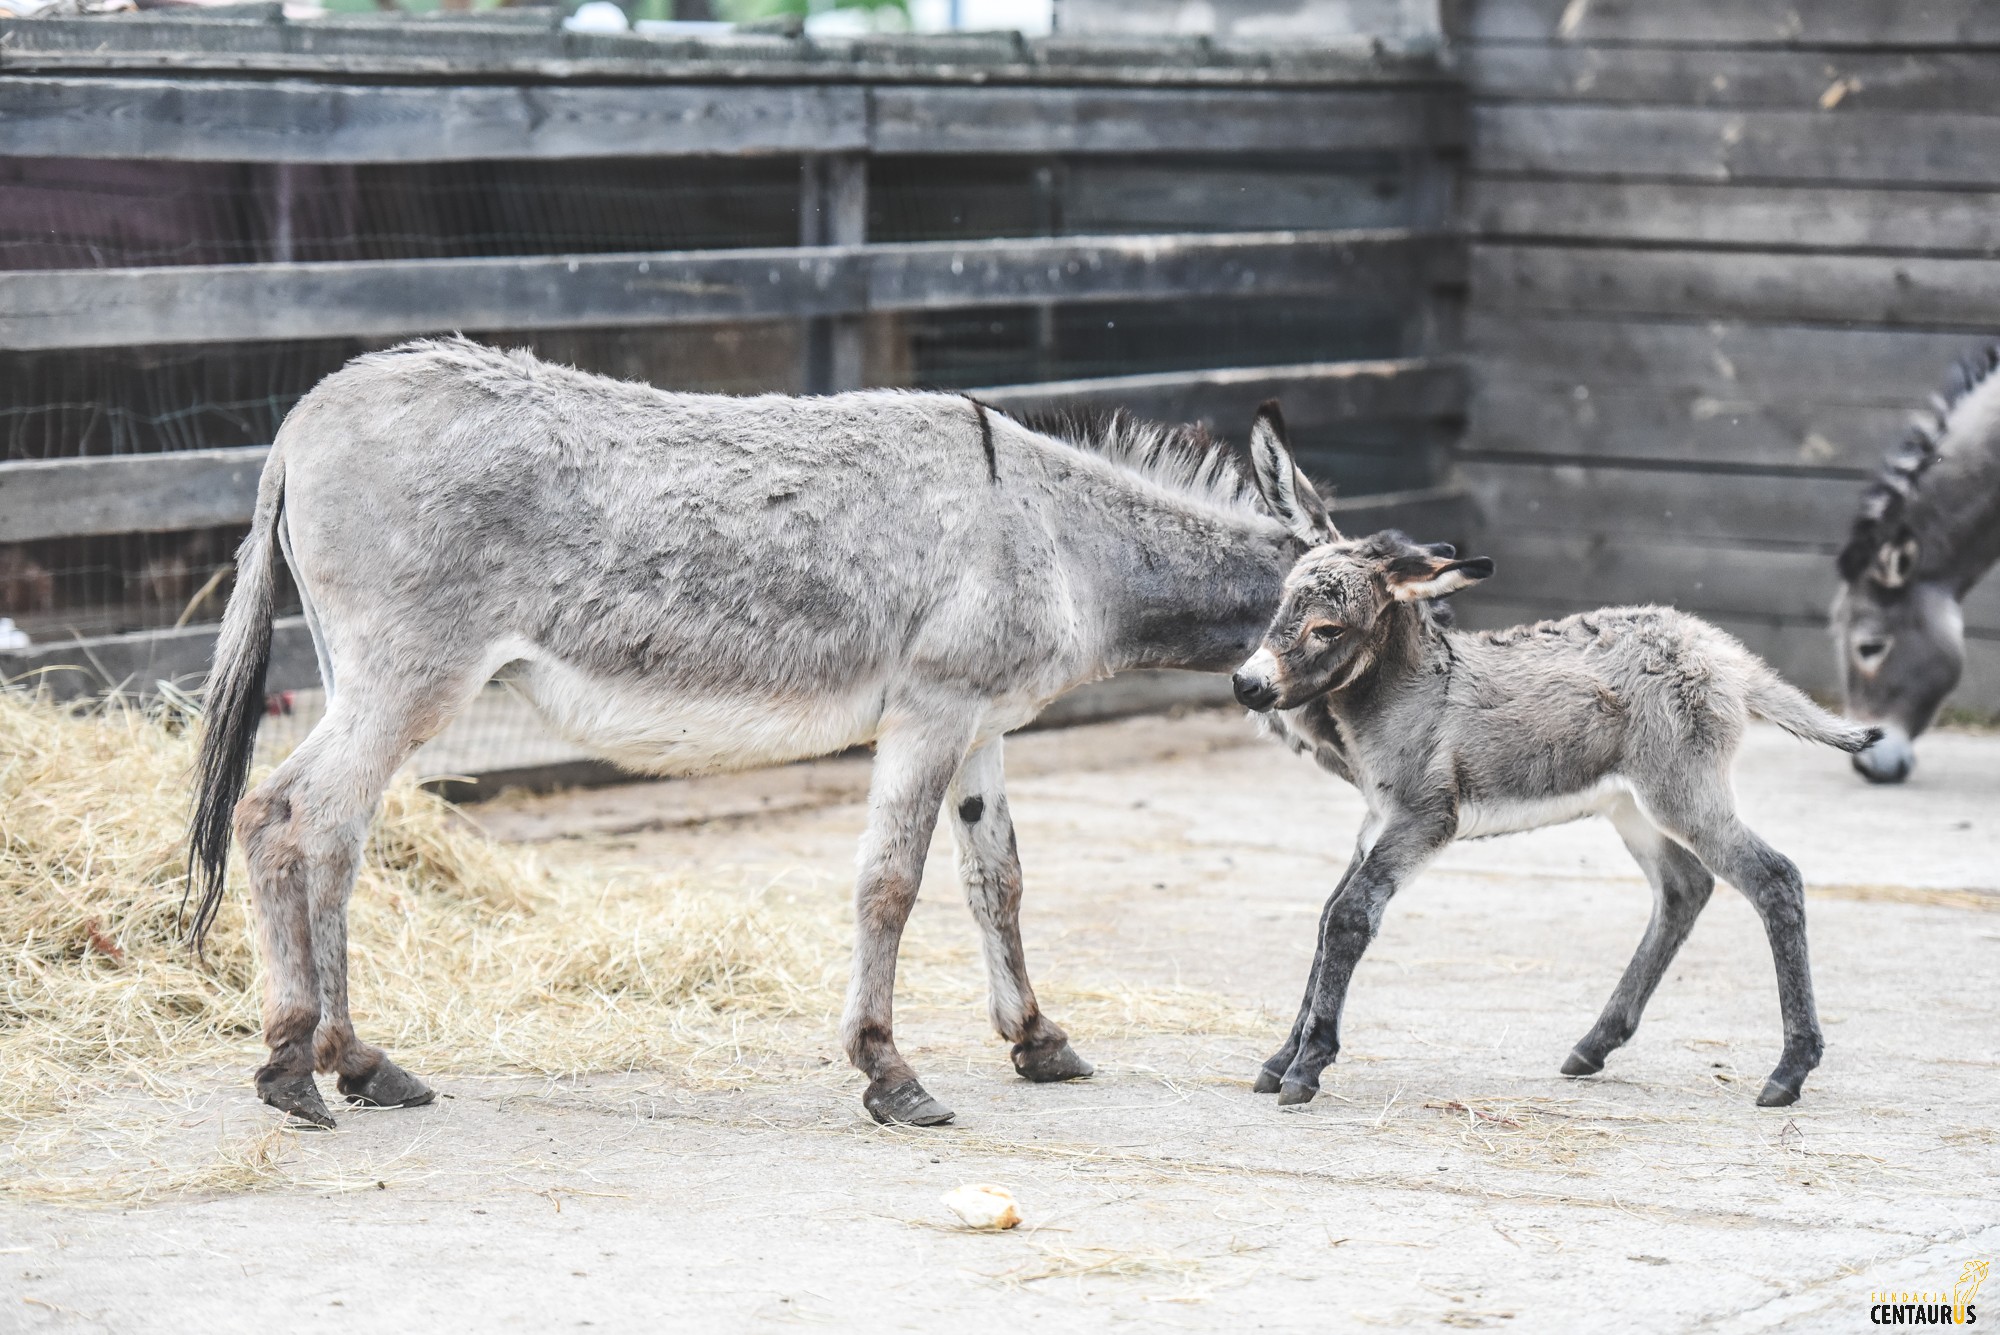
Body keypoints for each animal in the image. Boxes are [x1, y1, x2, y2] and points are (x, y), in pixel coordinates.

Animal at [1224, 527, 1880, 1103]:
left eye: (1326, 629)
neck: (1414, 695)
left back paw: (1790, 1070)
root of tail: (1721, 650)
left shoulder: (1423, 820)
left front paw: (1307, 1067)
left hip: (1684, 795)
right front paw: (1282, 1058)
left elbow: (1349, 918)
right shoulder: (1376, 824)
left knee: (1775, 879)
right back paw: (1595, 1046)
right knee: (1685, 888)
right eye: (1281, 609)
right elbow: (1327, 918)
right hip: (1633, 807)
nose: (1246, 686)